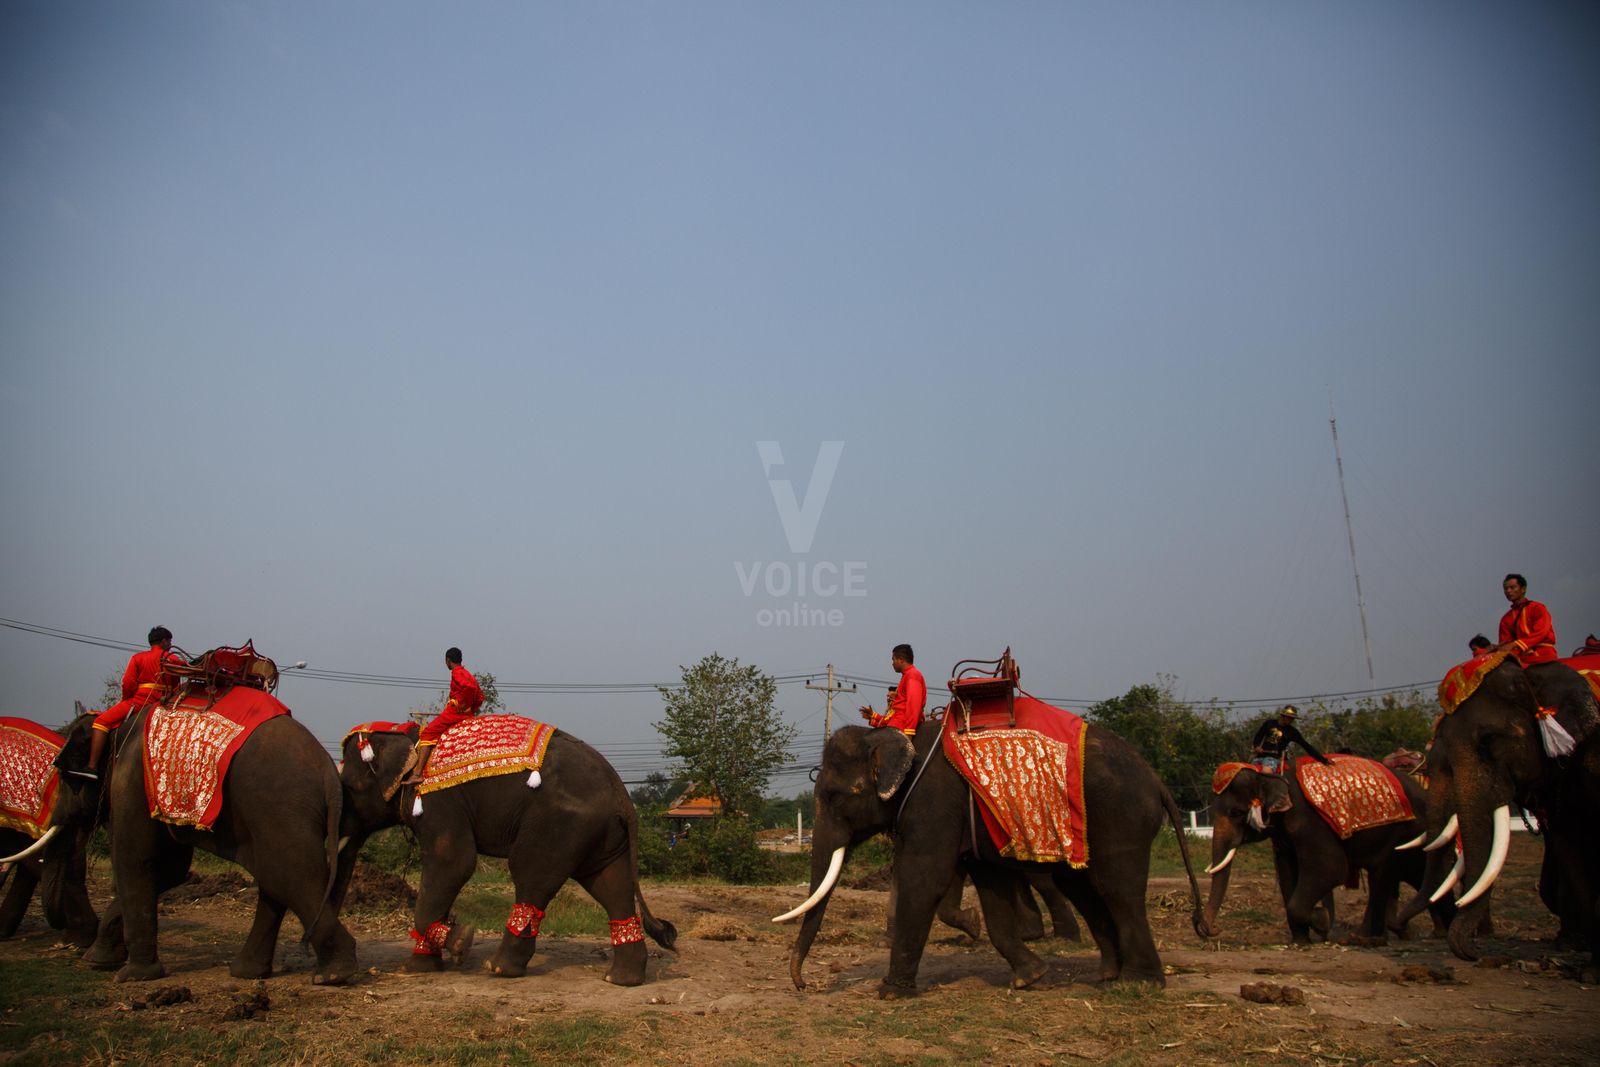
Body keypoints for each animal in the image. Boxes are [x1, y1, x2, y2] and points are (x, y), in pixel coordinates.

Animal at [337, 723, 675, 991]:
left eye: (349, 788)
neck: (414, 740)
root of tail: (622, 796)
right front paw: (418, 968)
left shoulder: (440, 802)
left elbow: (455, 862)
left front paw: (461, 941)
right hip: (601, 834)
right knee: (611, 885)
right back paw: (621, 980)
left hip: (559, 825)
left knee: (530, 874)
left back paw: (498, 968)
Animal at [774, 723, 1203, 998]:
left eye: (832, 796)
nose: (803, 985)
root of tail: (1155, 779)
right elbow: (990, 884)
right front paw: (1029, 977)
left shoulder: (934, 801)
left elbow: (924, 877)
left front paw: (890, 992)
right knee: (1080, 885)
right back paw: (1108, 974)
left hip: (1119, 818)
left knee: (1118, 887)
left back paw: (1138, 983)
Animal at [1203, 758, 1452, 940]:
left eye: (1235, 813)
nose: (1214, 930)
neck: (1273, 774)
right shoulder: (1284, 834)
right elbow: (1286, 873)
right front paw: (1301, 940)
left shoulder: (1311, 822)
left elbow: (1331, 870)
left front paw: (1321, 922)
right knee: (1403, 877)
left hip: (1407, 833)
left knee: (1392, 875)